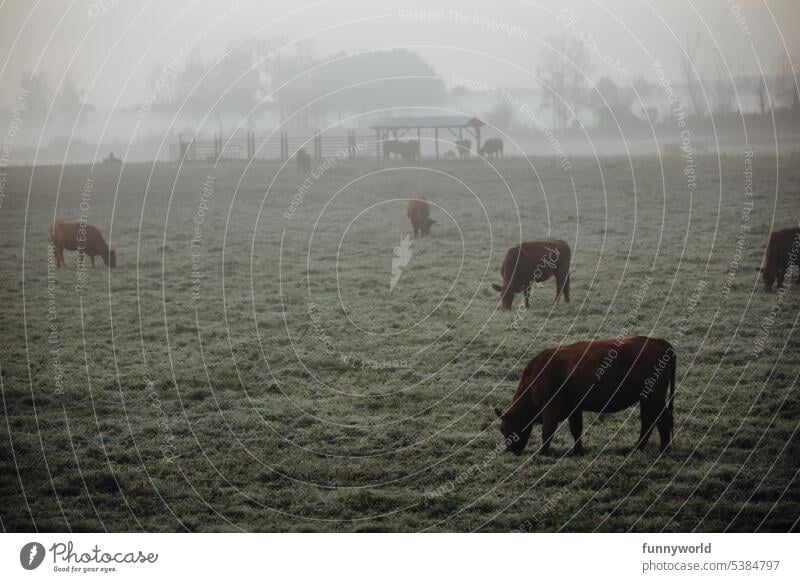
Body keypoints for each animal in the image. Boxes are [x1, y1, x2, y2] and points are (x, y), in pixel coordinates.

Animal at [494, 338, 676, 456]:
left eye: (506, 429)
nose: (511, 451)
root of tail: (656, 341)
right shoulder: (574, 408)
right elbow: (576, 430)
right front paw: (578, 451)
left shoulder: (550, 409)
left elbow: (547, 432)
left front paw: (542, 453)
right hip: (647, 399)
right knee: (649, 421)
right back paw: (639, 448)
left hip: (654, 398)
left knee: (662, 420)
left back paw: (663, 450)